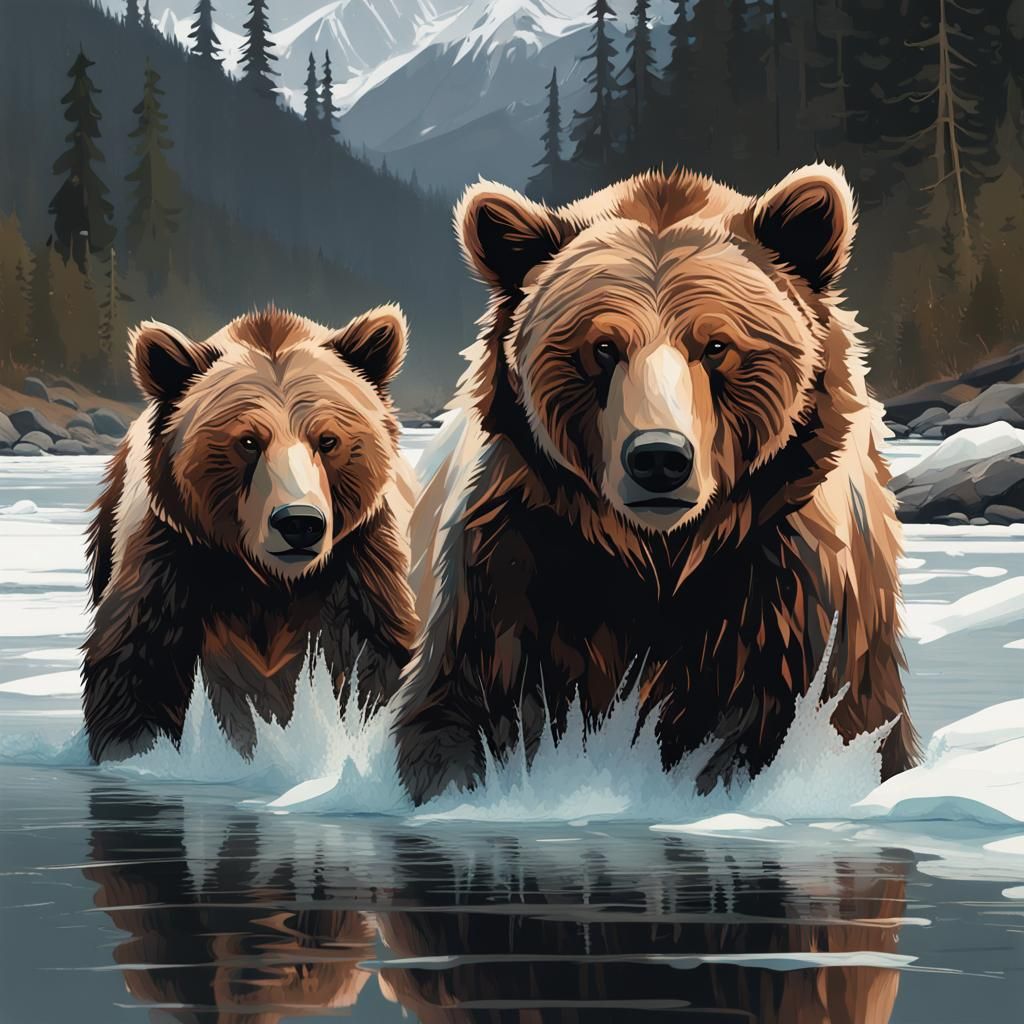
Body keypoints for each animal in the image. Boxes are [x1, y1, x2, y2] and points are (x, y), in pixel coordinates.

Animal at [83, 305, 418, 763]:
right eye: (247, 441)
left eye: (328, 439)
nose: (299, 522)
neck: (272, 583)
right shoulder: (171, 562)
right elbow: (137, 667)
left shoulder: (360, 568)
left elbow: (376, 664)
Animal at [393, 163, 917, 805]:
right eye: (602, 346)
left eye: (716, 344)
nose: (660, 458)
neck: (662, 558)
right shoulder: (512, 576)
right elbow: (455, 717)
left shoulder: (795, 596)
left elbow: (824, 724)